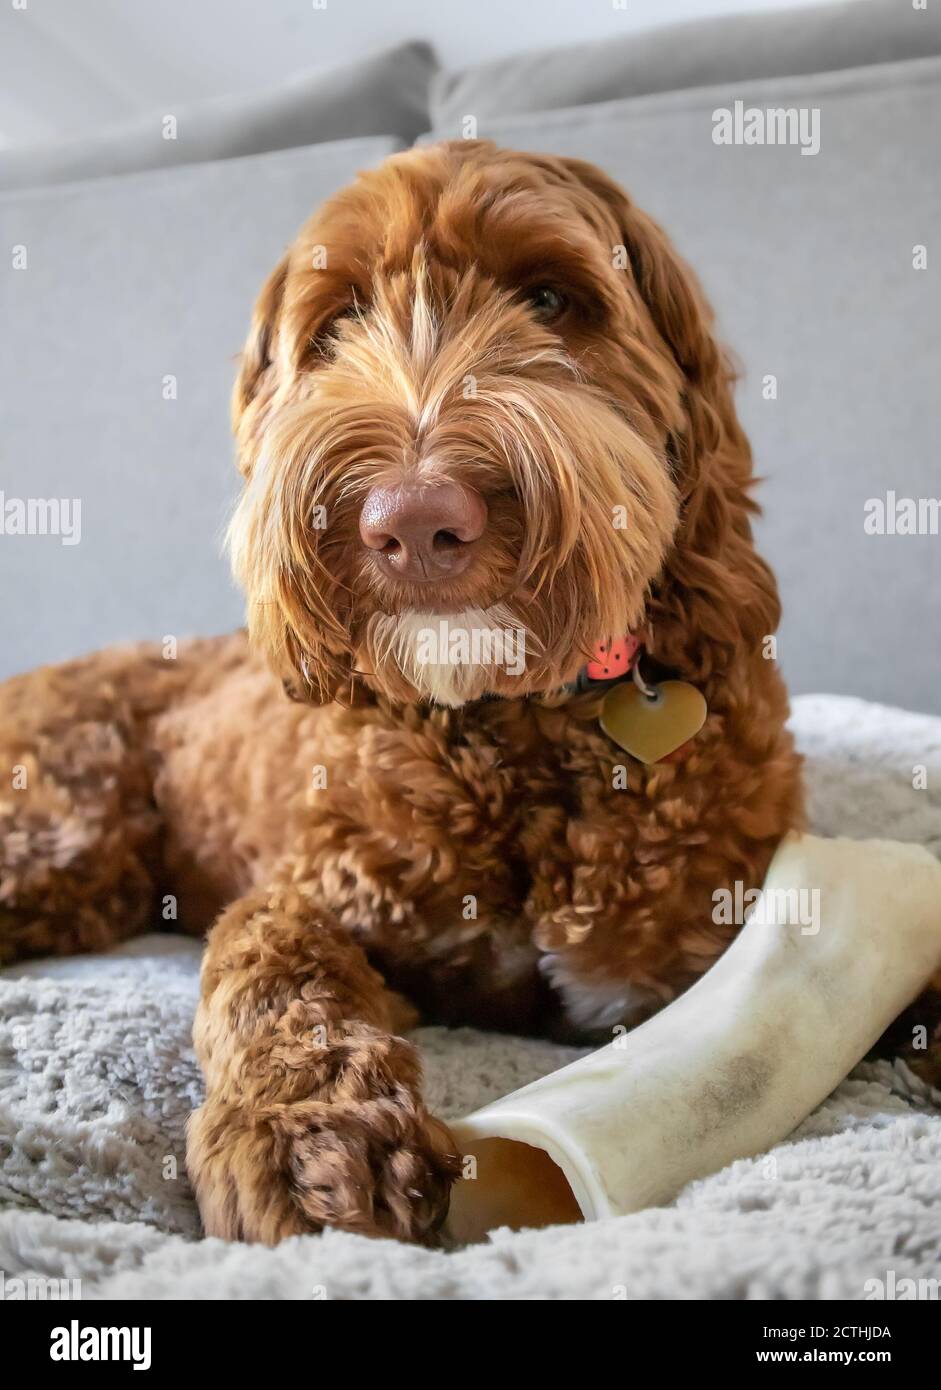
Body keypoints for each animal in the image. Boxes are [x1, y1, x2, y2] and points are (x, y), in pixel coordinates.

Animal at [3, 143, 922, 1251]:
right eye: (336, 323)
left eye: (550, 297)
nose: (412, 519)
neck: (516, 726)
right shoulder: (313, 889)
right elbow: (271, 972)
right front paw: (307, 1135)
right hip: (61, 833)